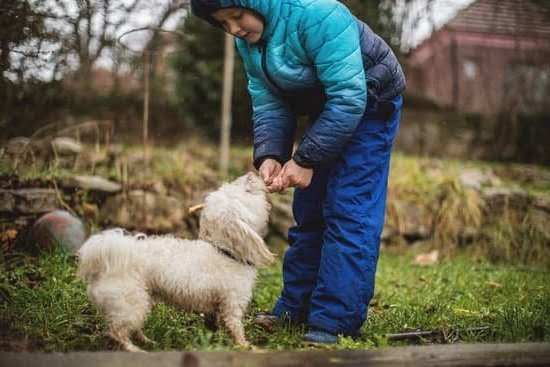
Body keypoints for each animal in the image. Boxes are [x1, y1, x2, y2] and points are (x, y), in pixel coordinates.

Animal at [76, 174, 274, 352]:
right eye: (246, 190)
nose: (251, 173)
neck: (224, 251)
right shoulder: (231, 304)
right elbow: (236, 328)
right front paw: (246, 347)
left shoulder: (216, 307)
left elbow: (214, 325)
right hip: (130, 303)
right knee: (117, 333)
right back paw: (135, 350)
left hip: (144, 299)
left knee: (130, 328)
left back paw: (146, 341)